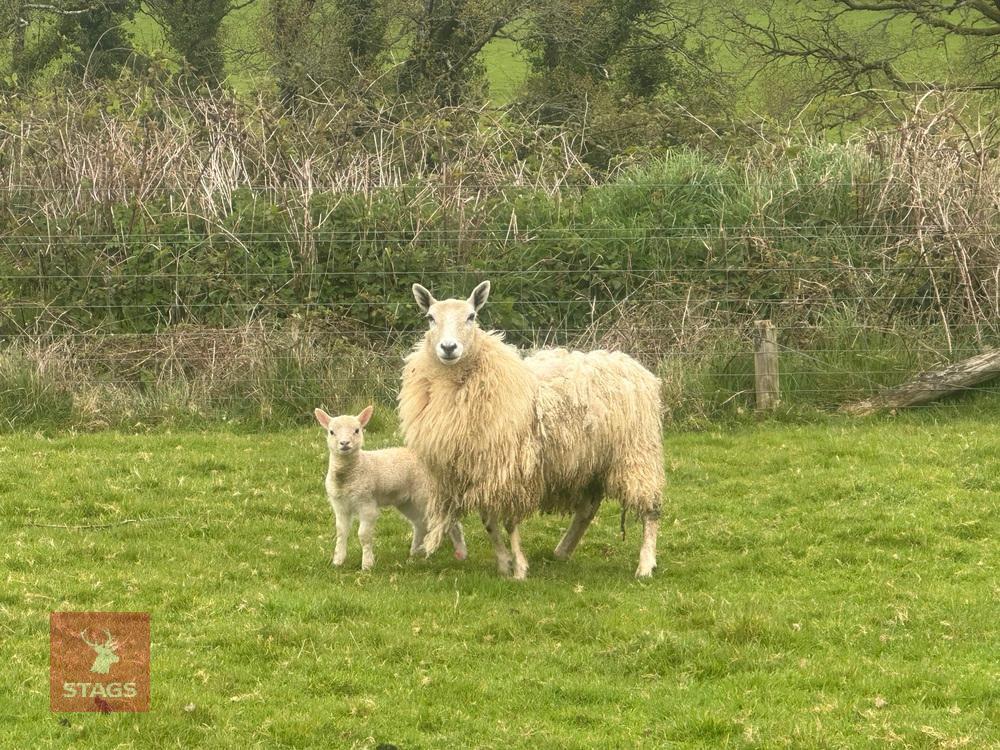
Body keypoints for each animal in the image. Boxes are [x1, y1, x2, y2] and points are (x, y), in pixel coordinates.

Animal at [315, 405, 467, 571]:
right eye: (331, 432)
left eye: (357, 430)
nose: (344, 443)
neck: (349, 475)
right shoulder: (340, 505)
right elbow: (341, 533)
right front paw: (337, 561)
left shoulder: (366, 503)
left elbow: (363, 535)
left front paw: (367, 564)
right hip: (407, 501)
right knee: (420, 523)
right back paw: (414, 553)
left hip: (427, 494)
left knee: (447, 520)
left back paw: (461, 552)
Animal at [398, 280, 664, 579]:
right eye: (430, 318)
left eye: (471, 316)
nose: (448, 347)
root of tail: (631, 364)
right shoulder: (480, 470)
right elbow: (489, 521)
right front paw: (504, 563)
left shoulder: (512, 469)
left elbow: (510, 523)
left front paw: (520, 569)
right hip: (590, 460)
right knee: (588, 508)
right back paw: (563, 550)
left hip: (637, 453)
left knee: (650, 509)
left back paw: (645, 564)